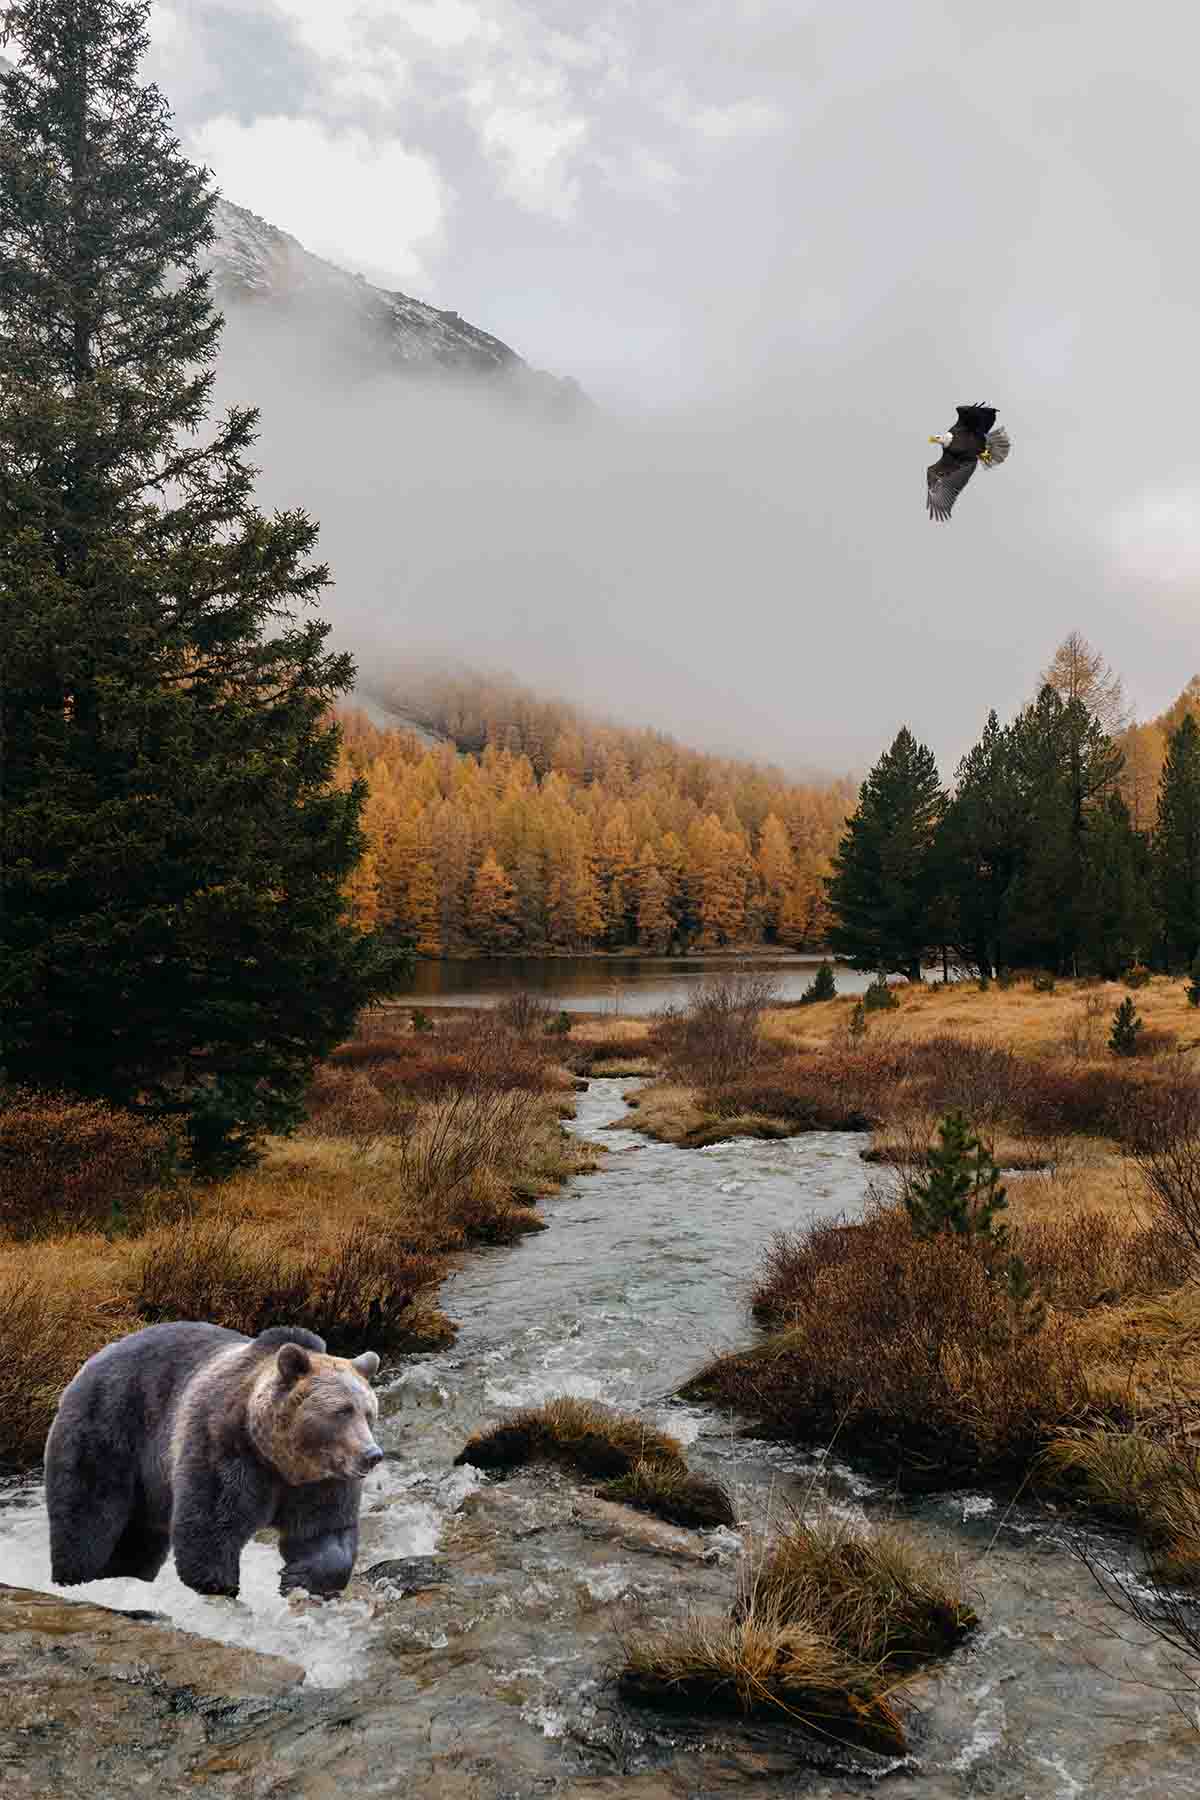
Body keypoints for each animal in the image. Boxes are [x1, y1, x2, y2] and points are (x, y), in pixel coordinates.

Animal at [44, 1322, 383, 1600]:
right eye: (342, 1411)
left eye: (368, 1412)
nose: (372, 1455)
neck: (279, 1458)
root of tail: (92, 1359)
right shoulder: (223, 1444)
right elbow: (211, 1525)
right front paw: (218, 1584)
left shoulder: (322, 1480)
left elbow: (325, 1530)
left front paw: (298, 1575)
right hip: (109, 1427)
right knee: (87, 1515)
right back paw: (75, 1576)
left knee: (138, 1540)